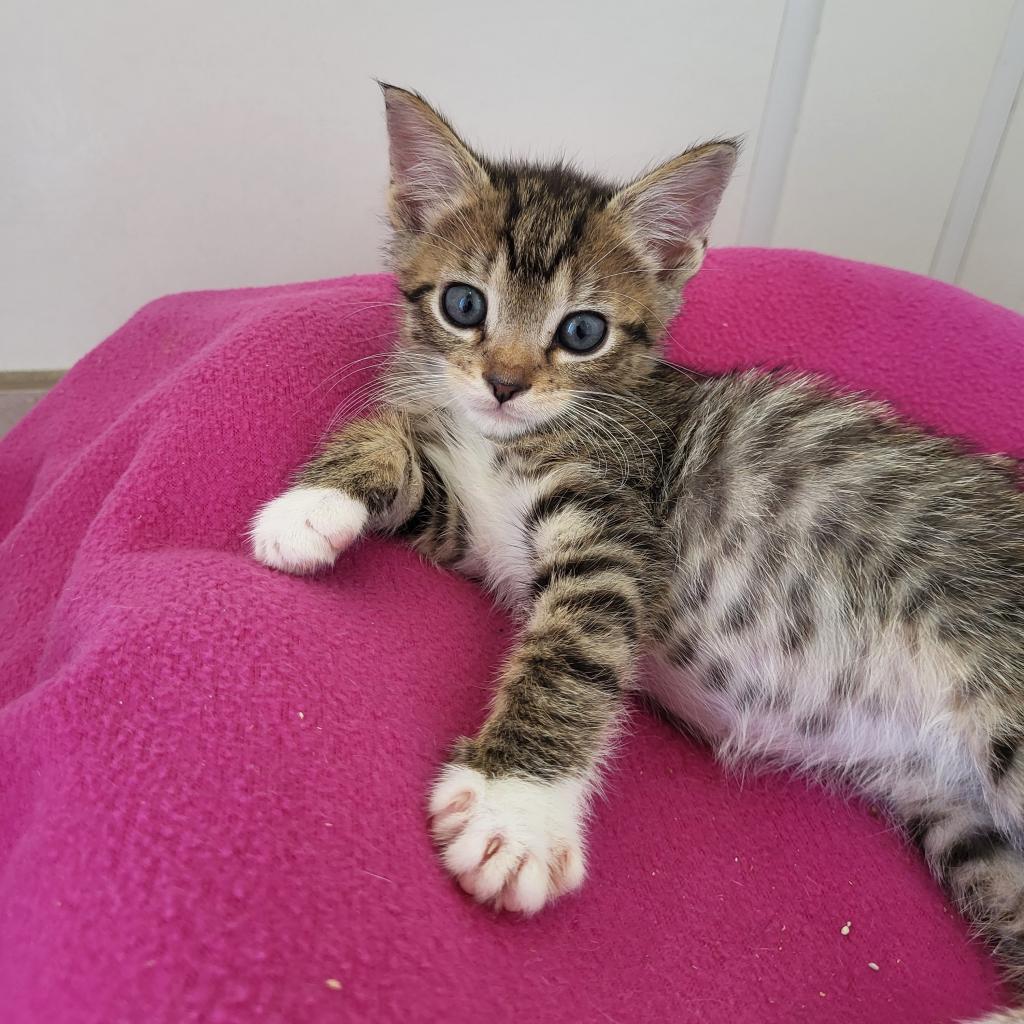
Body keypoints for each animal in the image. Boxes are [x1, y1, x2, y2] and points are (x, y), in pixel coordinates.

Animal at [251, 86, 1024, 1015]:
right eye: (464, 306)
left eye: (582, 331)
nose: (504, 383)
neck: (512, 439)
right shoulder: (476, 530)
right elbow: (398, 450)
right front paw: (310, 505)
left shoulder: (615, 529)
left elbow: (573, 653)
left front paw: (517, 812)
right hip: (968, 826)